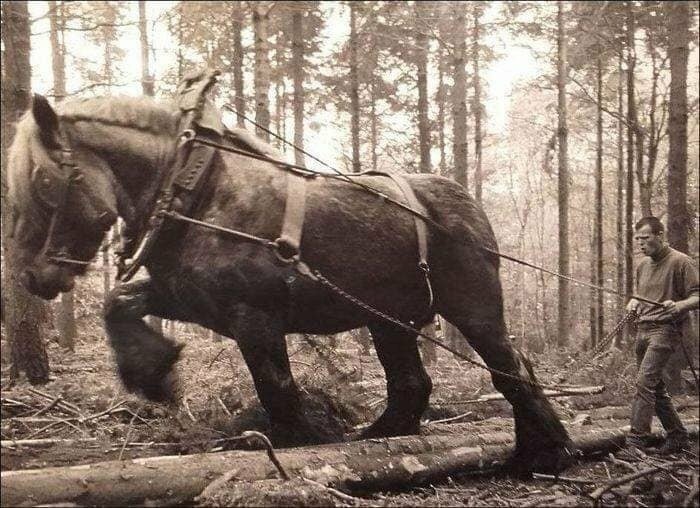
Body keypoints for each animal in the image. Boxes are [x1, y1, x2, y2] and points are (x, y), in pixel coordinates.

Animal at [6, 94, 576, 472]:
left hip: (473, 309)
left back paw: (544, 452)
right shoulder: (196, 301)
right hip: (389, 320)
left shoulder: (253, 316)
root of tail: (464, 201)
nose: (33, 277)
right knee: (412, 381)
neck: (200, 193)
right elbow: (118, 302)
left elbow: (275, 385)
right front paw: (154, 373)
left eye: (43, 182)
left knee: (510, 368)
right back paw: (385, 437)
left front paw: (297, 442)